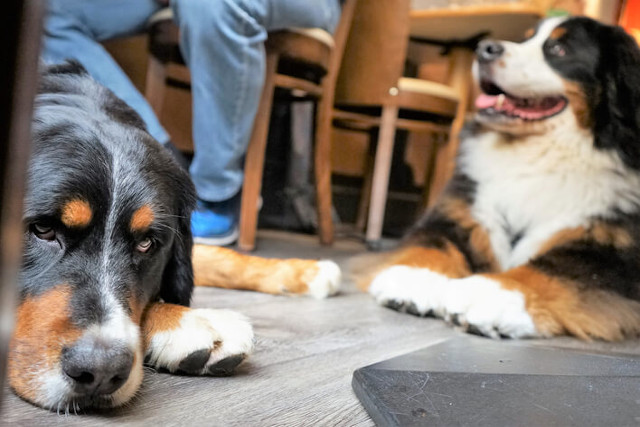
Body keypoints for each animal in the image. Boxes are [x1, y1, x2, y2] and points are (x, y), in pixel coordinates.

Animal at [10, 61, 340, 412]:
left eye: (146, 244)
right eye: (43, 229)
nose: (100, 371)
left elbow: (217, 257)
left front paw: (304, 271)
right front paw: (188, 320)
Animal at [360, 16, 640, 342]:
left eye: (559, 49)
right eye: (526, 38)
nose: (485, 49)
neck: (535, 156)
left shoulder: (613, 250)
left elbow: (555, 268)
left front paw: (491, 292)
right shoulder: (463, 211)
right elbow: (433, 241)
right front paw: (416, 277)